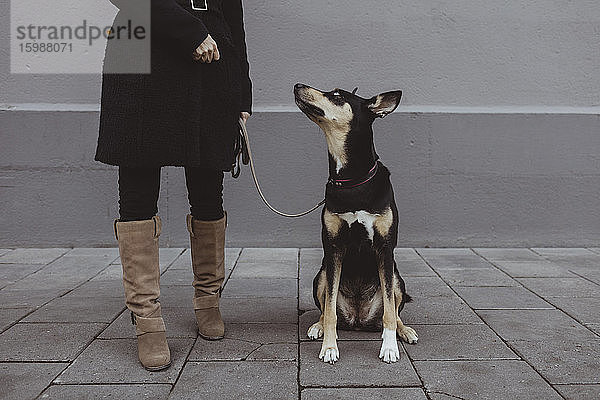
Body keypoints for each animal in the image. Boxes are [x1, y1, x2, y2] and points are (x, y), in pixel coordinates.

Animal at [294, 84, 418, 366]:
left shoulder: (384, 249)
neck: (352, 179)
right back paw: (317, 326)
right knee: (326, 309)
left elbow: (389, 313)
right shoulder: (333, 248)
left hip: (397, 279)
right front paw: (330, 347)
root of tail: (359, 319)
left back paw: (405, 331)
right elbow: (329, 310)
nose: (297, 86)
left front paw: (390, 347)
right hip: (321, 275)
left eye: (338, 96)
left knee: (395, 311)